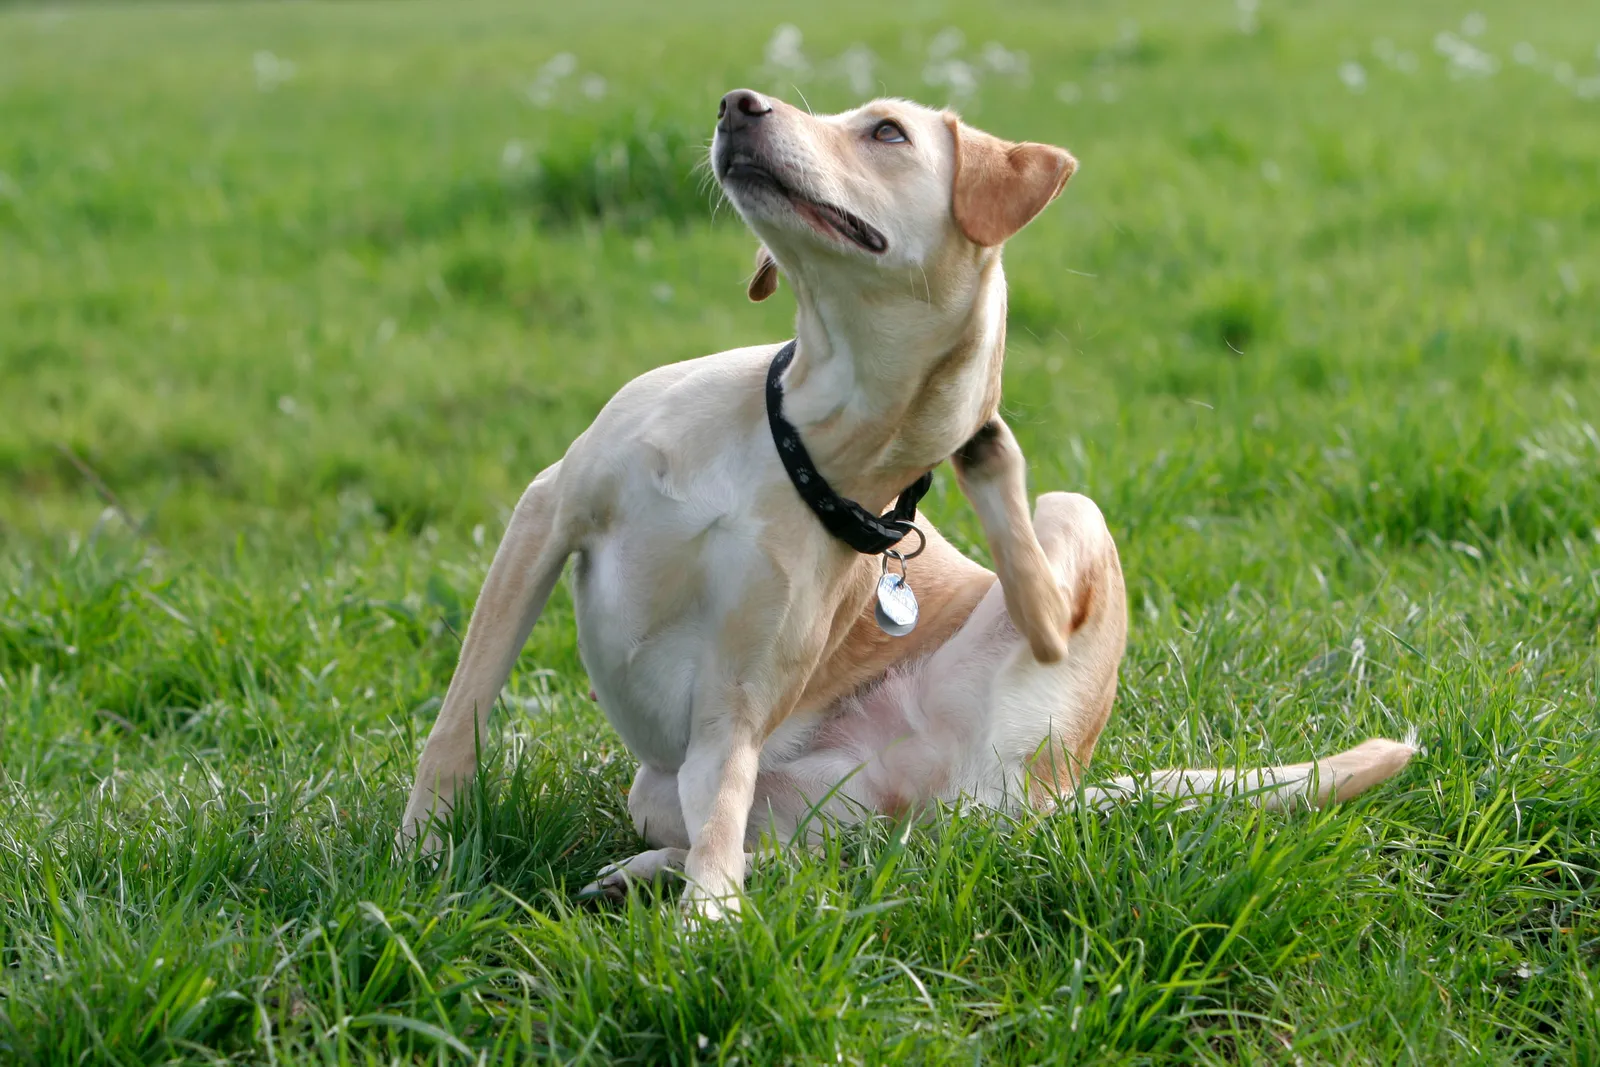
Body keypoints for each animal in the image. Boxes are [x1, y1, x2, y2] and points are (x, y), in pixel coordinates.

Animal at [396, 91, 1414, 921]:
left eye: (886, 132)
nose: (737, 103)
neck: (799, 440)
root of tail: (1047, 794)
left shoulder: (737, 696)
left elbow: (720, 817)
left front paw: (702, 927)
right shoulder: (546, 516)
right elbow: (461, 716)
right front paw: (423, 851)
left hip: (1061, 544)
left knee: (1027, 624)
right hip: (682, 789)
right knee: (781, 855)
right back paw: (648, 872)